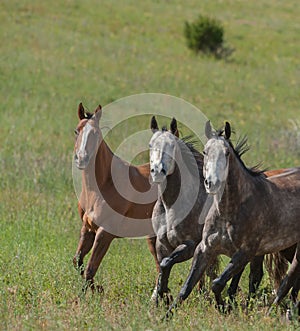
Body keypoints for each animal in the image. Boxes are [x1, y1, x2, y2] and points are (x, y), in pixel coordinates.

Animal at [72, 103, 159, 290]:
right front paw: (97, 289)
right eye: (76, 131)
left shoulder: (105, 233)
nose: (82, 159)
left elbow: (90, 269)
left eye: (95, 133)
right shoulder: (88, 229)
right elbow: (78, 262)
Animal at [169, 121, 300, 314]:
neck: (229, 210)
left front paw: (224, 307)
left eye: (226, 153)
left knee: (289, 278)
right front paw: (165, 315)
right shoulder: (205, 248)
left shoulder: (246, 252)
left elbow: (217, 283)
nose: (212, 183)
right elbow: (187, 287)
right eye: (205, 151)